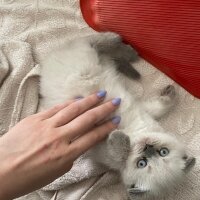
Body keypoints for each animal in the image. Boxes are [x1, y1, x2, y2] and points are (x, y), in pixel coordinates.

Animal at [39, 32, 195, 198]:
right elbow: (160, 107)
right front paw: (170, 93)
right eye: (163, 152)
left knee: (98, 48)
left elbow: (120, 149)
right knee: (93, 41)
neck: (136, 133)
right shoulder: (140, 114)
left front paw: (118, 135)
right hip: (88, 56)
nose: (148, 147)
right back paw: (124, 47)